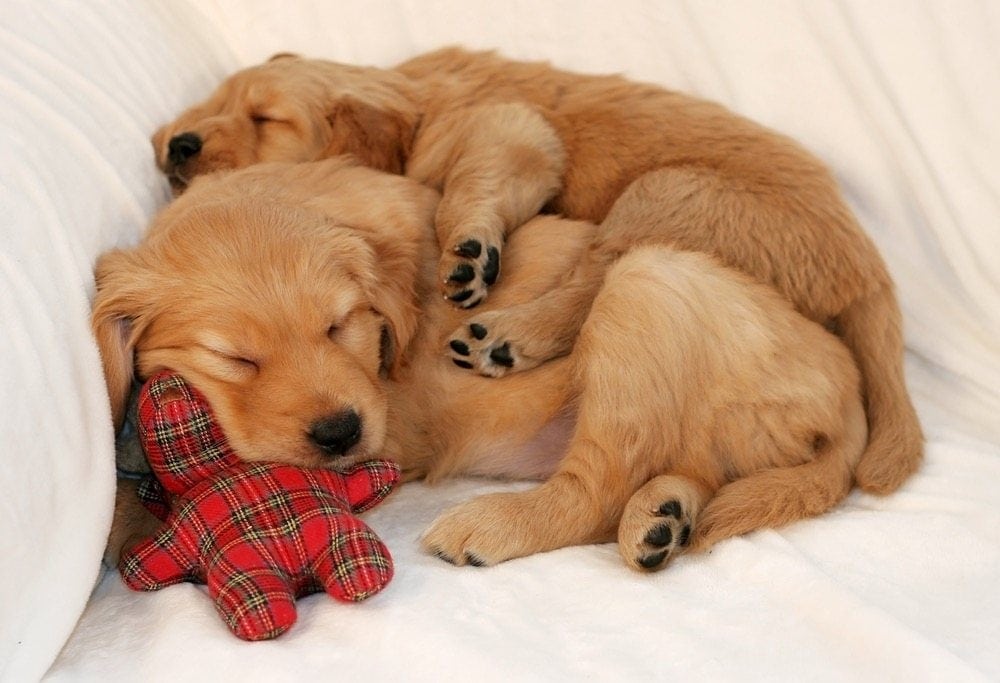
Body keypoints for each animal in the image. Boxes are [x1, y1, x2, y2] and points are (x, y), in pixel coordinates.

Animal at [92, 159, 868, 572]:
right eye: (236, 357)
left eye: (341, 326)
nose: (342, 433)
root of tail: (852, 388)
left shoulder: (393, 426)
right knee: (680, 470)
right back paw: (663, 516)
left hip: (649, 281)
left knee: (595, 489)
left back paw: (493, 524)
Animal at [152, 48, 924, 500]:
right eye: (215, 104)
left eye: (265, 119)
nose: (176, 144)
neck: (413, 99)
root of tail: (871, 271)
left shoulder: (508, 129)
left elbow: (478, 176)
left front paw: (469, 247)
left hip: (669, 192)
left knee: (597, 277)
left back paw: (507, 334)